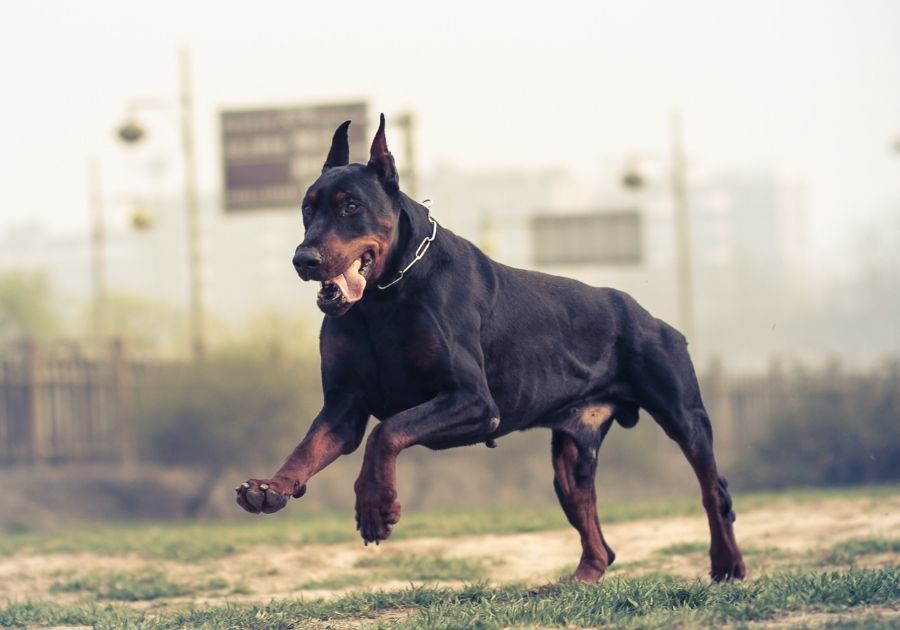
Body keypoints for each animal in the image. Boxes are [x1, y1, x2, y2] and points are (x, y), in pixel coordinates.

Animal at [237, 115, 744, 584]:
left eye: (351, 207)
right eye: (307, 208)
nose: (304, 259)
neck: (384, 298)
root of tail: (652, 317)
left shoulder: (474, 402)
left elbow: (387, 432)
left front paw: (376, 506)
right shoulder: (345, 406)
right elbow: (312, 445)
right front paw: (271, 487)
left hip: (683, 413)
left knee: (713, 489)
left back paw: (727, 564)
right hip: (571, 454)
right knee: (591, 518)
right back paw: (579, 578)